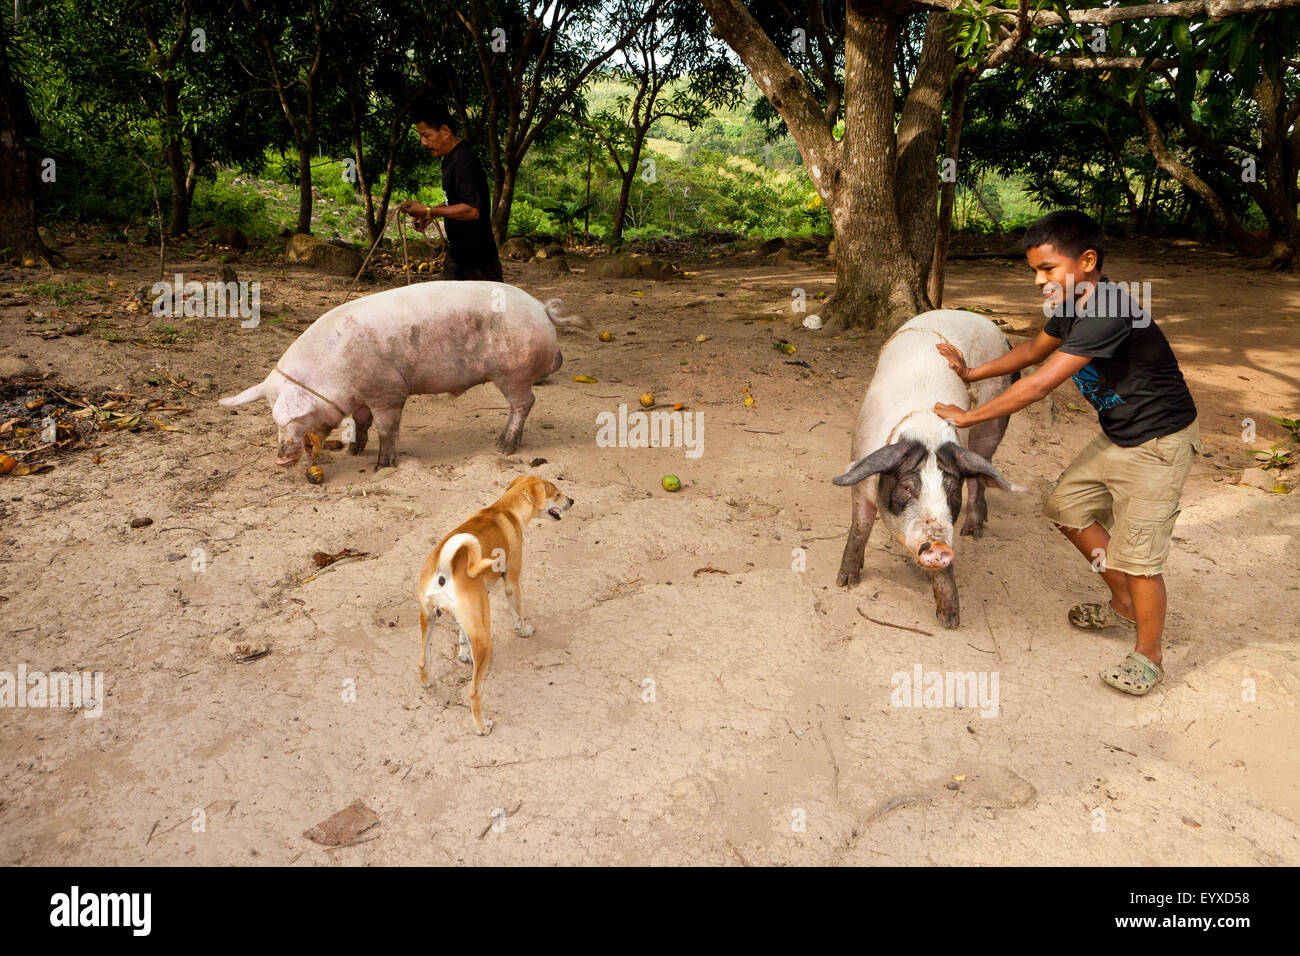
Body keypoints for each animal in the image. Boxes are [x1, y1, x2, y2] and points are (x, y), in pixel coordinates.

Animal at [220, 280, 587, 468]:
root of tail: (541, 309)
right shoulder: (362, 397)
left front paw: (382, 465)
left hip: (513, 372)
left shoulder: (388, 390)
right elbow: (362, 421)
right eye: (273, 420)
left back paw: (505, 448)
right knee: (519, 406)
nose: (280, 458)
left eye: (291, 419)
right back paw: (505, 442)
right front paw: (354, 451)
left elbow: (387, 429)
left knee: (525, 403)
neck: (333, 375)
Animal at [416, 476, 574, 738]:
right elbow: (517, 611)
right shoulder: (512, 580)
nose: (571, 500)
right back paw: (482, 727)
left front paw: (463, 654)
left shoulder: (472, 612)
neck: (505, 510)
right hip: (485, 640)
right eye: (557, 493)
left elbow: (462, 635)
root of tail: (446, 567)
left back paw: (427, 681)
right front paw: (524, 630)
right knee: (474, 692)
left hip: (429, 619)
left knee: (422, 659)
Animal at [832, 310, 1024, 632]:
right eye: (908, 487)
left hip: (995, 409)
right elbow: (860, 527)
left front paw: (950, 621)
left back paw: (973, 531)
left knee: (982, 468)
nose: (938, 546)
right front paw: (845, 582)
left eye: (951, 489)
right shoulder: (860, 474)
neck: (925, 428)